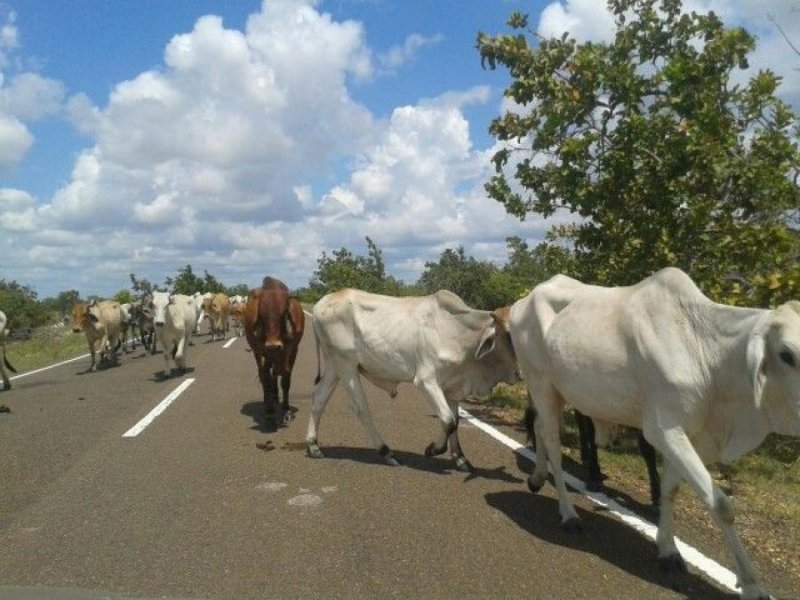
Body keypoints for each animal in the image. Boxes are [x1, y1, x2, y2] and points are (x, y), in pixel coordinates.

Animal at [242, 278, 304, 428]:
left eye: (283, 313)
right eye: (262, 314)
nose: (274, 346)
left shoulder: (293, 351)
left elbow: (285, 382)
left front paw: (286, 411)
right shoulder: (261, 352)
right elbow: (266, 380)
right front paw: (270, 413)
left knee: (274, 375)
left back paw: (275, 397)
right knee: (265, 377)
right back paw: (268, 400)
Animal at [306, 288, 520, 472]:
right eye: (509, 335)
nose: (521, 370)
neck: (458, 333)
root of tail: (321, 304)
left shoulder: (451, 386)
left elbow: (456, 422)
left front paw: (461, 459)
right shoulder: (426, 381)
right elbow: (448, 420)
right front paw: (433, 449)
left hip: (334, 365)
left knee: (319, 398)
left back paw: (313, 445)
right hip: (347, 366)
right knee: (360, 407)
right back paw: (386, 452)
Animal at [512, 268, 800, 600]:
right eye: (786, 354)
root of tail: (524, 299)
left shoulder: (687, 435)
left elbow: (670, 490)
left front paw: (668, 550)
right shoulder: (665, 429)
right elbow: (720, 504)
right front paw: (752, 585)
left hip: (557, 392)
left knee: (540, 429)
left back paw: (537, 477)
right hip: (540, 382)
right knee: (554, 446)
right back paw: (569, 514)